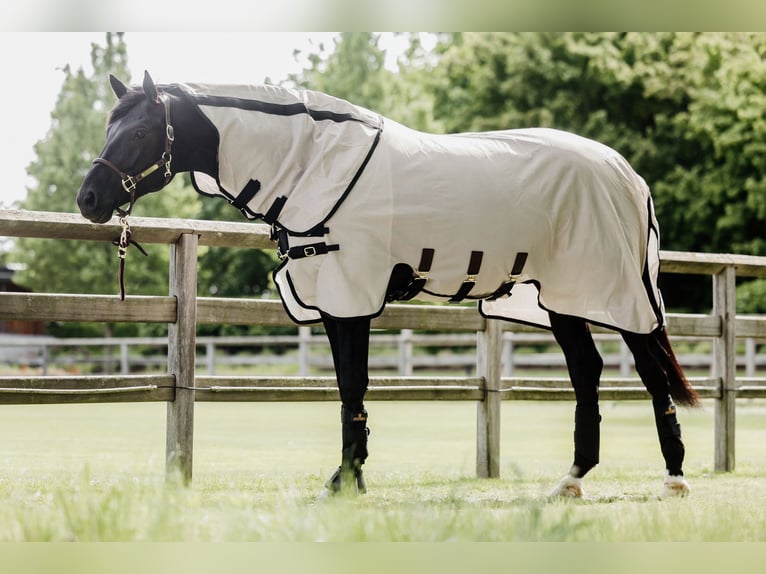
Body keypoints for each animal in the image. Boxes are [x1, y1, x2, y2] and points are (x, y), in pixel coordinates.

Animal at [78, 72, 704, 500]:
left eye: (139, 131)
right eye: (109, 126)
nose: (89, 199)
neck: (314, 164)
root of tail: (629, 175)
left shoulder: (348, 294)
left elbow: (353, 385)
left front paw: (346, 480)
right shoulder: (331, 297)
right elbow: (346, 388)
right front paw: (347, 477)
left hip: (616, 291)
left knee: (649, 369)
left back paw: (674, 478)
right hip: (559, 298)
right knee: (587, 372)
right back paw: (571, 480)